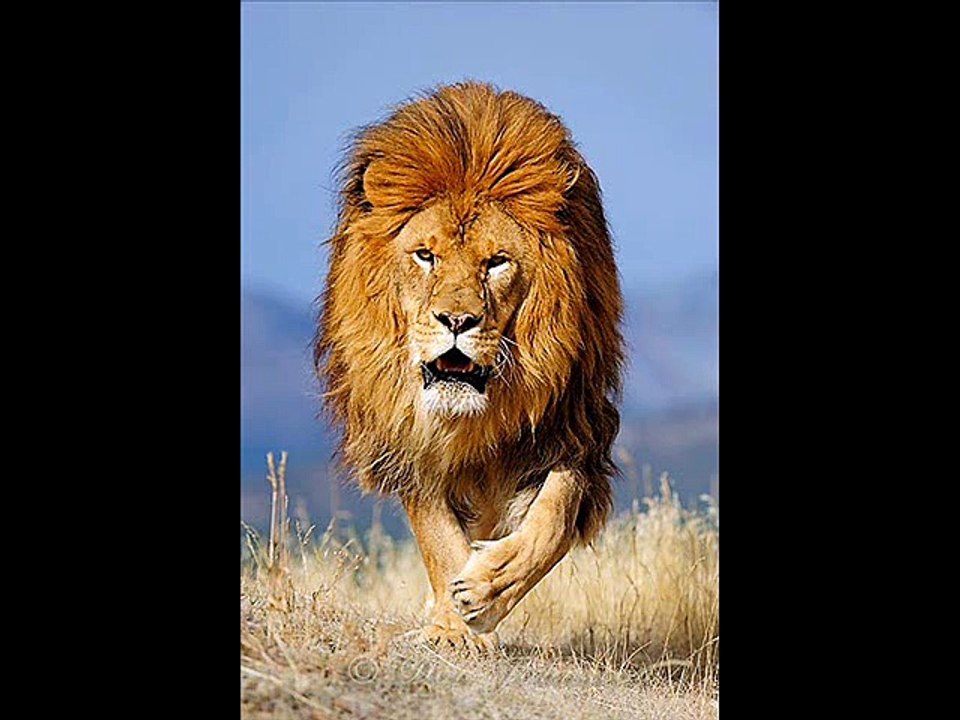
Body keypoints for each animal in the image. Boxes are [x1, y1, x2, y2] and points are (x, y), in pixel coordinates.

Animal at [315, 82, 623, 651]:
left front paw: (487, 588)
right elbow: (437, 534)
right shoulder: (407, 434)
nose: (456, 320)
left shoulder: (574, 421)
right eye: (425, 256)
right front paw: (454, 626)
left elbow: (554, 516)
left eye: (496, 262)